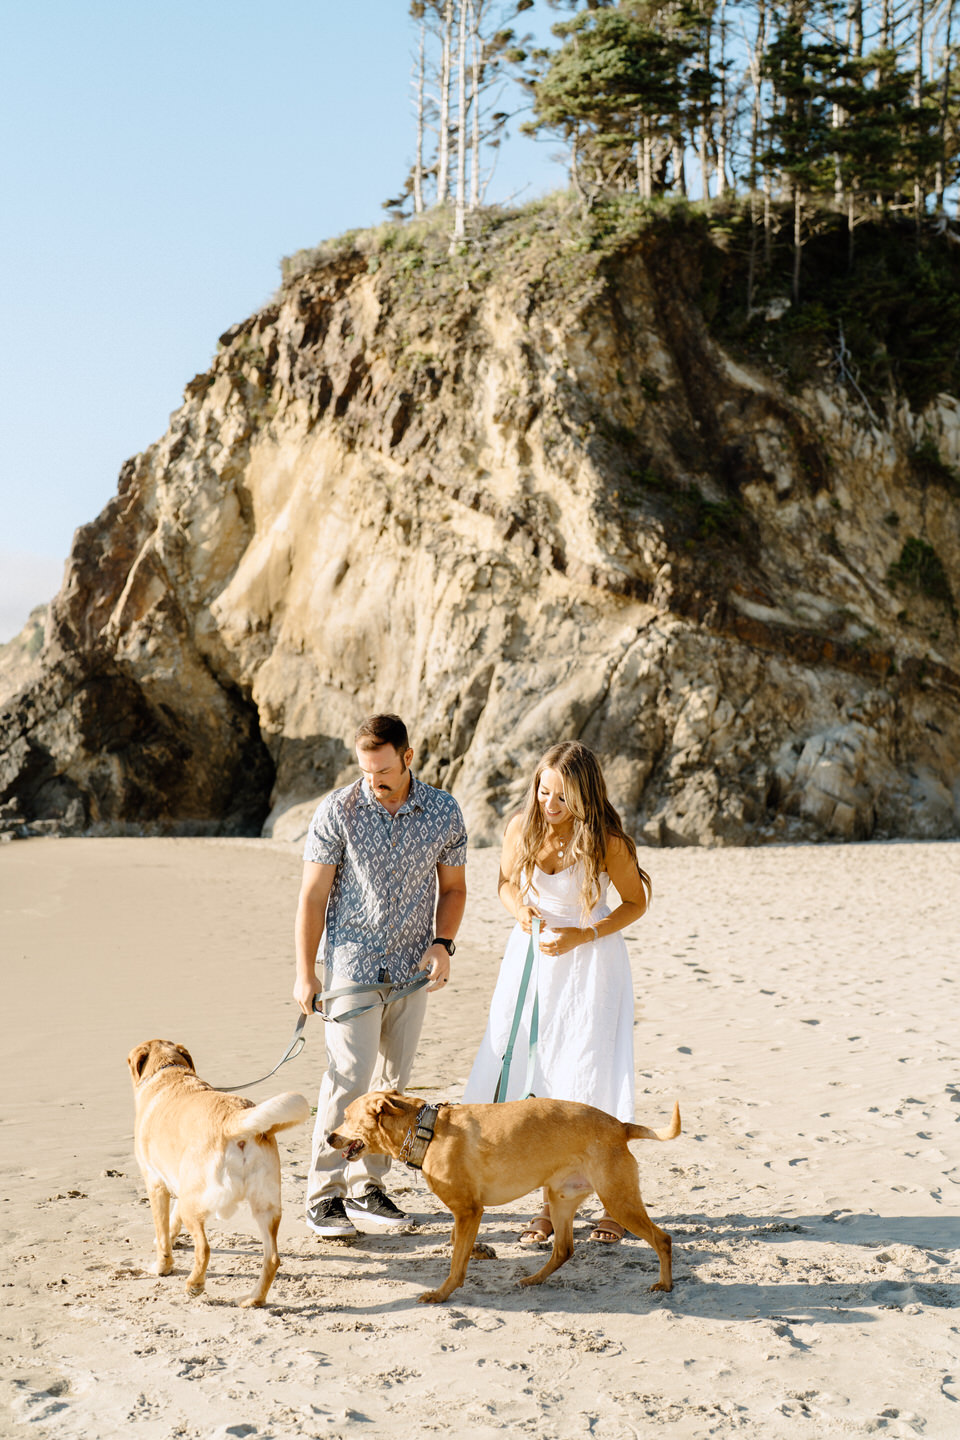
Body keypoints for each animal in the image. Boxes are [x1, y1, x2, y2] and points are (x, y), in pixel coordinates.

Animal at [126, 1036, 308, 1307]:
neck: (168, 1070)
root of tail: (233, 1120)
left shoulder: (156, 1184)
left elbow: (162, 1231)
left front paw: (162, 1266)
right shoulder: (180, 1186)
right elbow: (171, 1223)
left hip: (196, 1204)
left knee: (204, 1248)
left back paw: (194, 1285)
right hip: (265, 1207)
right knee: (272, 1258)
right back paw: (253, 1299)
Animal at [331, 1088, 682, 1307]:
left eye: (346, 1117)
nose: (328, 1137)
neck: (425, 1131)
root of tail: (620, 1126)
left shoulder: (469, 1210)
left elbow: (456, 1263)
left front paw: (442, 1294)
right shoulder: (466, 1212)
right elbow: (456, 1240)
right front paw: (480, 1250)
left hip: (618, 1201)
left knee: (663, 1239)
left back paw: (665, 1285)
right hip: (560, 1198)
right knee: (564, 1249)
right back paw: (533, 1280)